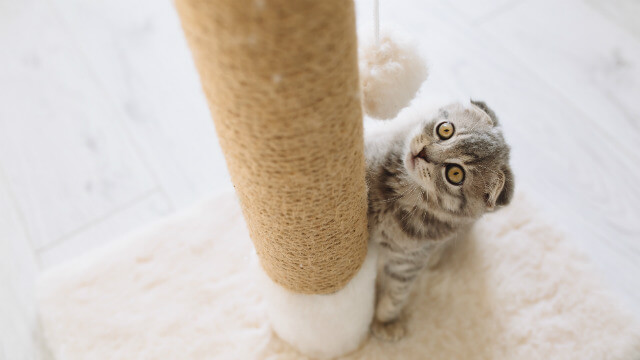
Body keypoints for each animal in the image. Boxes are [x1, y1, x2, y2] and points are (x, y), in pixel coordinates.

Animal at [364, 100, 516, 340]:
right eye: (445, 130)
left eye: (455, 174)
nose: (422, 153)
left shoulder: (409, 259)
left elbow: (396, 292)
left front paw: (385, 320)